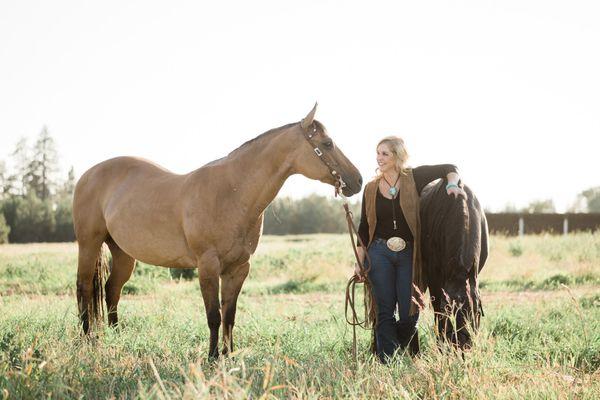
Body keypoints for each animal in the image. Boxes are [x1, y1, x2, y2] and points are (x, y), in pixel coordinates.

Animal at [70, 104, 360, 358]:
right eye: (327, 143)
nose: (357, 181)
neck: (231, 192)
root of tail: (87, 175)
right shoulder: (208, 265)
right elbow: (214, 316)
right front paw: (212, 357)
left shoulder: (238, 268)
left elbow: (229, 315)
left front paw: (228, 355)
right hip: (89, 244)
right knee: (83, 287)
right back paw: (87, 338)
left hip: (123, 253)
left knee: (111, 289)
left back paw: (117, 336)